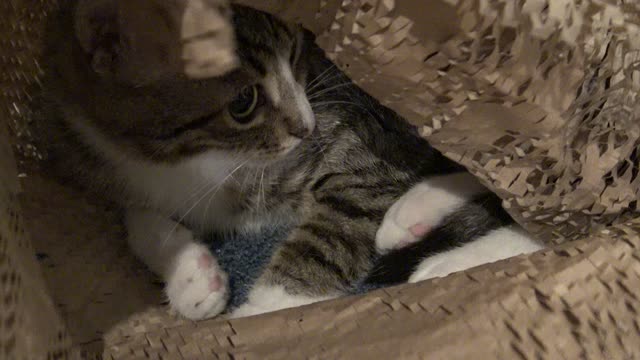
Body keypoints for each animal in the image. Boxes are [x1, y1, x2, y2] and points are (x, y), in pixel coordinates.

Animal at [37, 0, 544, 320]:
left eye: (299, 51)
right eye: (244, 101)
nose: (306, 125)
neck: (198, 162)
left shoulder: (364, 144)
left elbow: (331, 229)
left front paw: (258, 310)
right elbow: (133, 214)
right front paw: (189, 276)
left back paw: (431, 239)